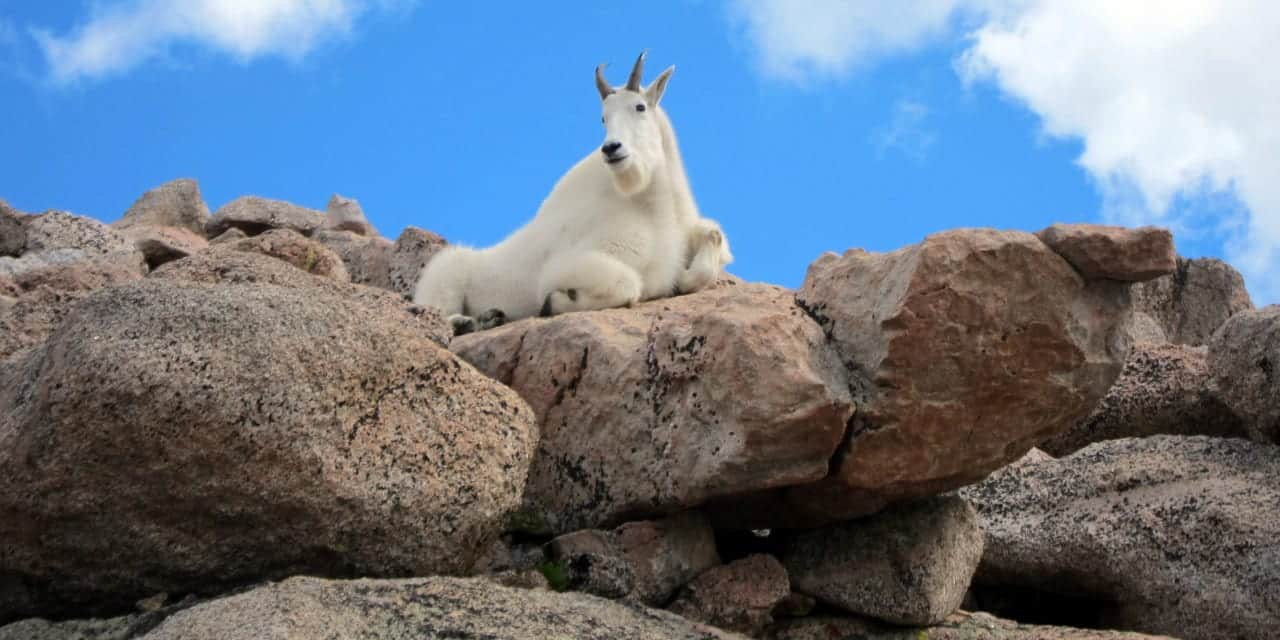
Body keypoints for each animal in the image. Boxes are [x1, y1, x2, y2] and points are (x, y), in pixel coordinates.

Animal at [409, 51, 732, 335]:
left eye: (640, 107)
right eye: (603, 118)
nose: (611, 148)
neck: (649, 204)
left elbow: (710, 241)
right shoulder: (566, 266)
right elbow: (628, 285)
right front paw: (553, 303)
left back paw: (489, 318)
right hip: (444, 276)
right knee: (435, 312)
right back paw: (469, 322)